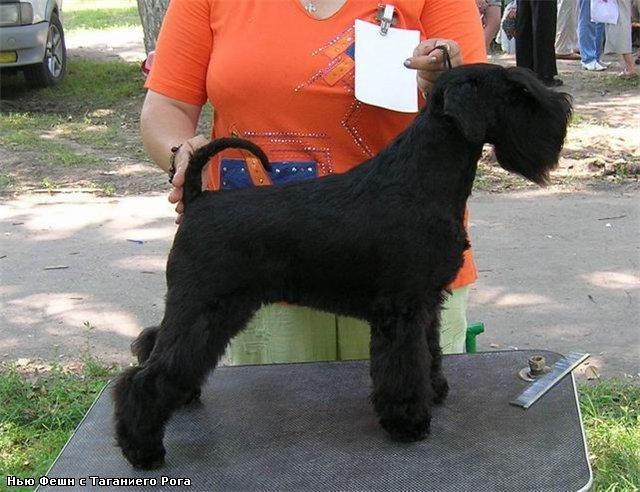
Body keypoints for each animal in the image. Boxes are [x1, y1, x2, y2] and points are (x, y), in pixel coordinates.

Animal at [113, 63, 572, 469]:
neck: (423, 178)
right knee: (146, 377)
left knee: (154, 345)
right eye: (517, 91)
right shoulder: (401, 310)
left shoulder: (426, 304)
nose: (564, 110)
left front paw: (435, 390)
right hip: (205, 306)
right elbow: (403, 368)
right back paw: (143, 449)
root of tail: (198, 199)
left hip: (206, 307)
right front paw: (408, 422)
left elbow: (430, 352)